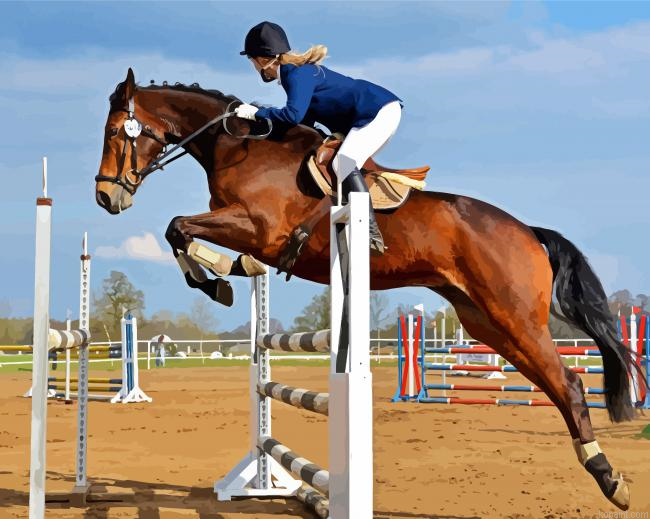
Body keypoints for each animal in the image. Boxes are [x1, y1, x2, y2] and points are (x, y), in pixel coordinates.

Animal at [95, 69, 640, 510]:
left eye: (115, 132)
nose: (105, 197)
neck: (239, 150)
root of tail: (527, 231)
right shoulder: (249, 233)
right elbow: (184, 233)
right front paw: (223, 275)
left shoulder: (260, 228)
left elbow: (178, 227)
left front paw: (212, 282)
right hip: (487, 324)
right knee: (552, 384)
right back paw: (601, 470)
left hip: (515, 318)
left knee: (568, 385)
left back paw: (610, 480)